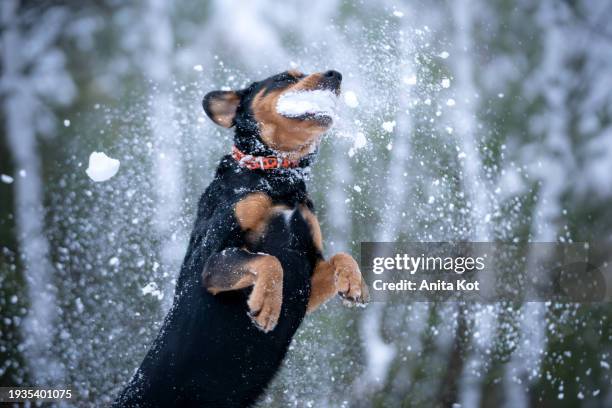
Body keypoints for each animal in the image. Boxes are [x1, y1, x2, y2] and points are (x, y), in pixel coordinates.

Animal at [115, 68, 368, 406]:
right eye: (285, 77)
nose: (335, 74)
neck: (277, 176)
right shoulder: (209, 264)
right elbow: (268, 261)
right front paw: (267, 305)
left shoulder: (305, 278)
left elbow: (342, 256)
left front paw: (354, 284)